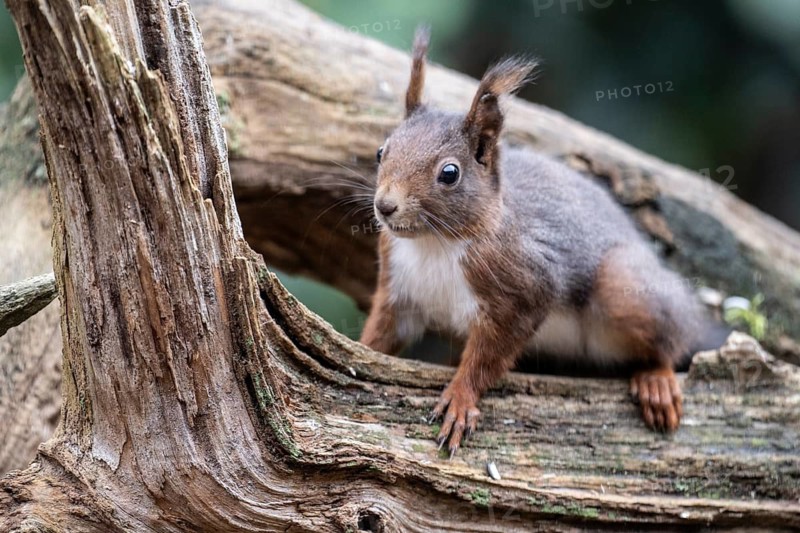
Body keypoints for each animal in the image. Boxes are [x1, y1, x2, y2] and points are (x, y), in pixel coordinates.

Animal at [359, 26, 716, 457]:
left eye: (449, 173)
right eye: (381, 151)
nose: (385, 206)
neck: (435, 243)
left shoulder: (526, 287)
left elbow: (489, 357)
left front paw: (460, 399)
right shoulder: (399, 287)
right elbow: (383, 332)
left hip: (624, 288)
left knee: (671, 336)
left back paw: (656, 378)